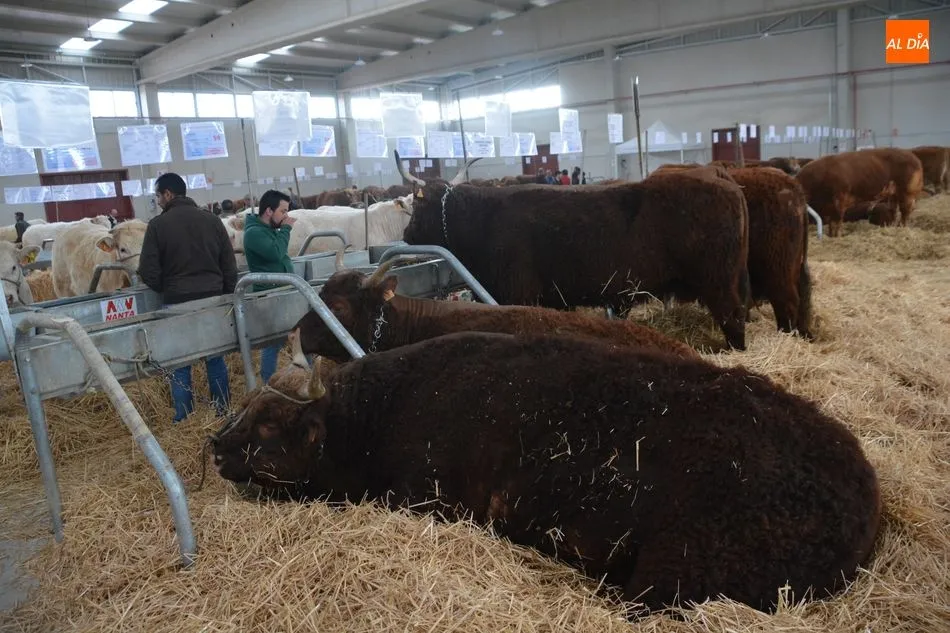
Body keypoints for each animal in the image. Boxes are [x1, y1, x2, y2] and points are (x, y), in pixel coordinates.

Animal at [211, 328, 882, 615]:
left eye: (268, 425)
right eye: (244, 409)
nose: (215, 447)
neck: (378, 414)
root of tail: (863, 498)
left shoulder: (427, 497)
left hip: (675, 569)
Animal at [395, 150, 753, 350]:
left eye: (416, 206)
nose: (406, 233)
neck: (484, 221)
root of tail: (722, 178)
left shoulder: (516, 293)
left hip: (718, 282)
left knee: (733, 317)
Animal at [796, 148, 924, 237]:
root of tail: (915, 159)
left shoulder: (839, 199)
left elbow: (837, 220)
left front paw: (837, 236)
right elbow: (832, 222)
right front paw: (831, 235)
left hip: (907, 192)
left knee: (905, 211)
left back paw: (902, 228)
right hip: (893, 194)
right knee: (893, 210)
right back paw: (892, 227)